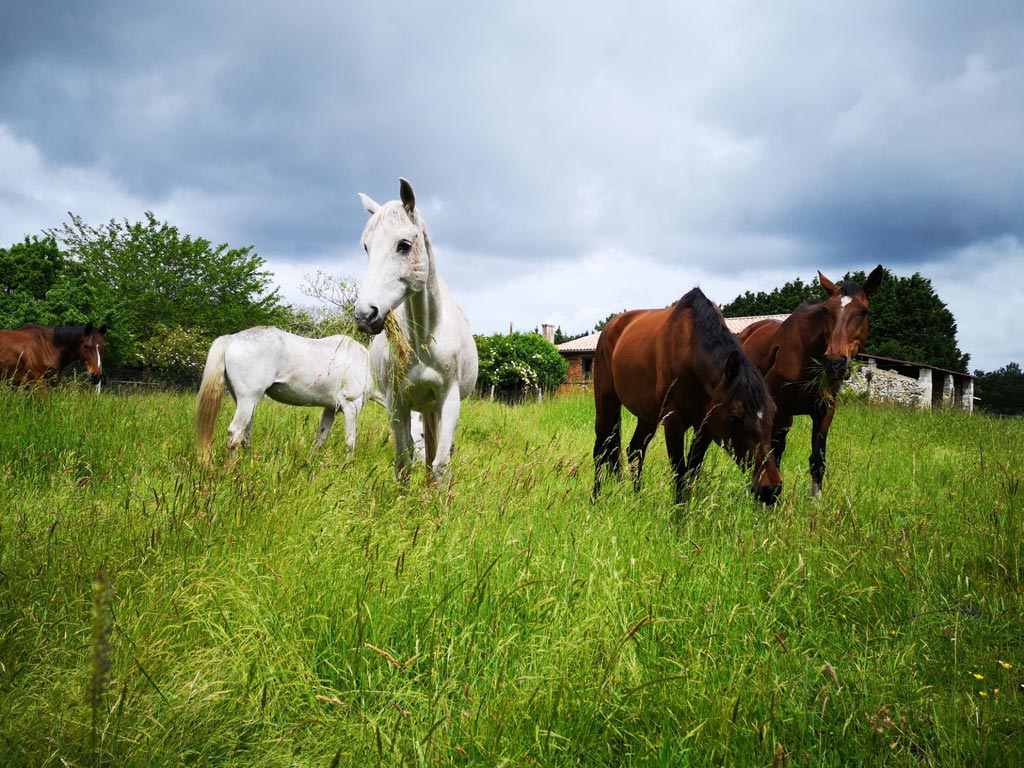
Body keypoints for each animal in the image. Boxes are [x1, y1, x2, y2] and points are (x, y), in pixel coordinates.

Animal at [195, 325, 372, 460]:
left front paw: (313, 463)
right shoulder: (351, 406)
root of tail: (231, 338)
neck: (364, 362)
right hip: (247, 400)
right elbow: (350, 442)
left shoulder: (330, 409)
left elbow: (320, 439)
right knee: (235, 433)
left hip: (246, 403)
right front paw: (347, 466)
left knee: (245, 435)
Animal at [352, 177, 479, 483]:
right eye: (367, 247)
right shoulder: (397, 403)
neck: (424, 339)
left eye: (404, 245)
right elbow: (403, 462)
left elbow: (441, 465)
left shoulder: (449, 401)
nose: (365, 314)